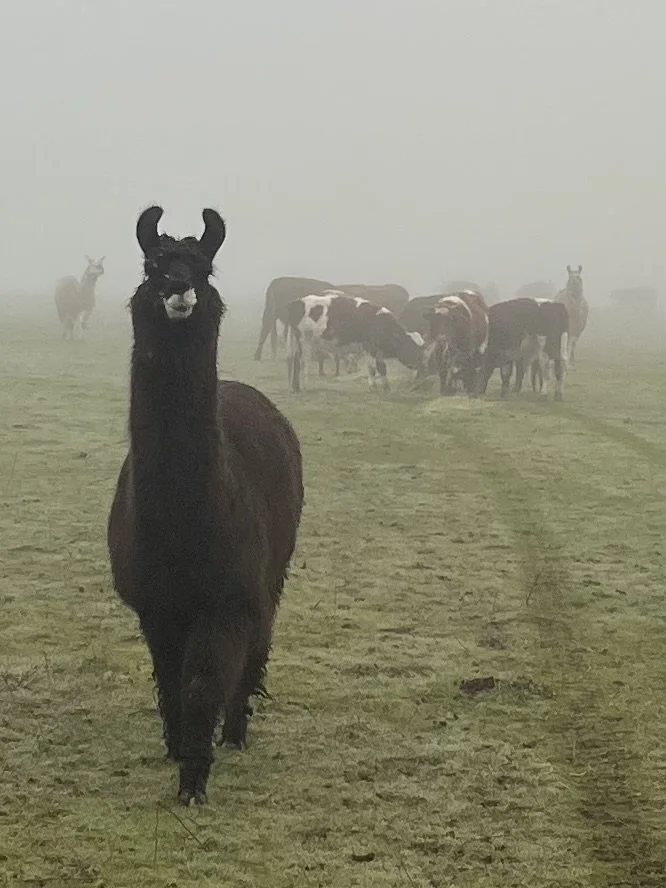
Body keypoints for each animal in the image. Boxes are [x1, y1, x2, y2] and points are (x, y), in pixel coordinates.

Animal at [286, 293, 425, 393]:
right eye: (411, 348)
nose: (420, 366)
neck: (380, 323)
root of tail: (297, 301)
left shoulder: (377, 350)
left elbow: (382, 367)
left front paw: (385, 386)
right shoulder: (369, 346)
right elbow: (372, 368)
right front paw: (373, 387)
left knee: (296, 361)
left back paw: (296, 387)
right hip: (304, 340)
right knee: (303, 361)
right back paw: (304, 386)